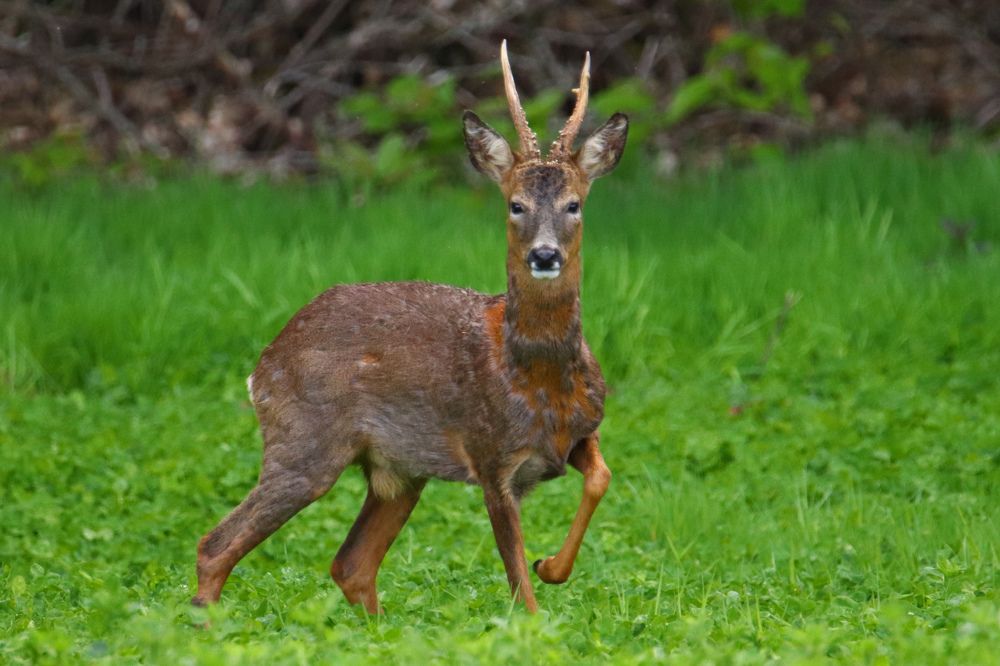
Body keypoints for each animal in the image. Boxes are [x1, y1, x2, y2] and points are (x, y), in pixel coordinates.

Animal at [192, 41, 628, 614]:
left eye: (574, 204)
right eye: (516, 205)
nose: (545, 255)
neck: (538, 383)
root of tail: (264, 363)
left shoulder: (582, 432)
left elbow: (600, 477)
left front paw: (552, 565)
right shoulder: (490, 457)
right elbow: (520, 588)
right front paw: (539, 595)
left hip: (398, 471)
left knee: (351, 564)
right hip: (304, 443)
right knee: (216, 545)